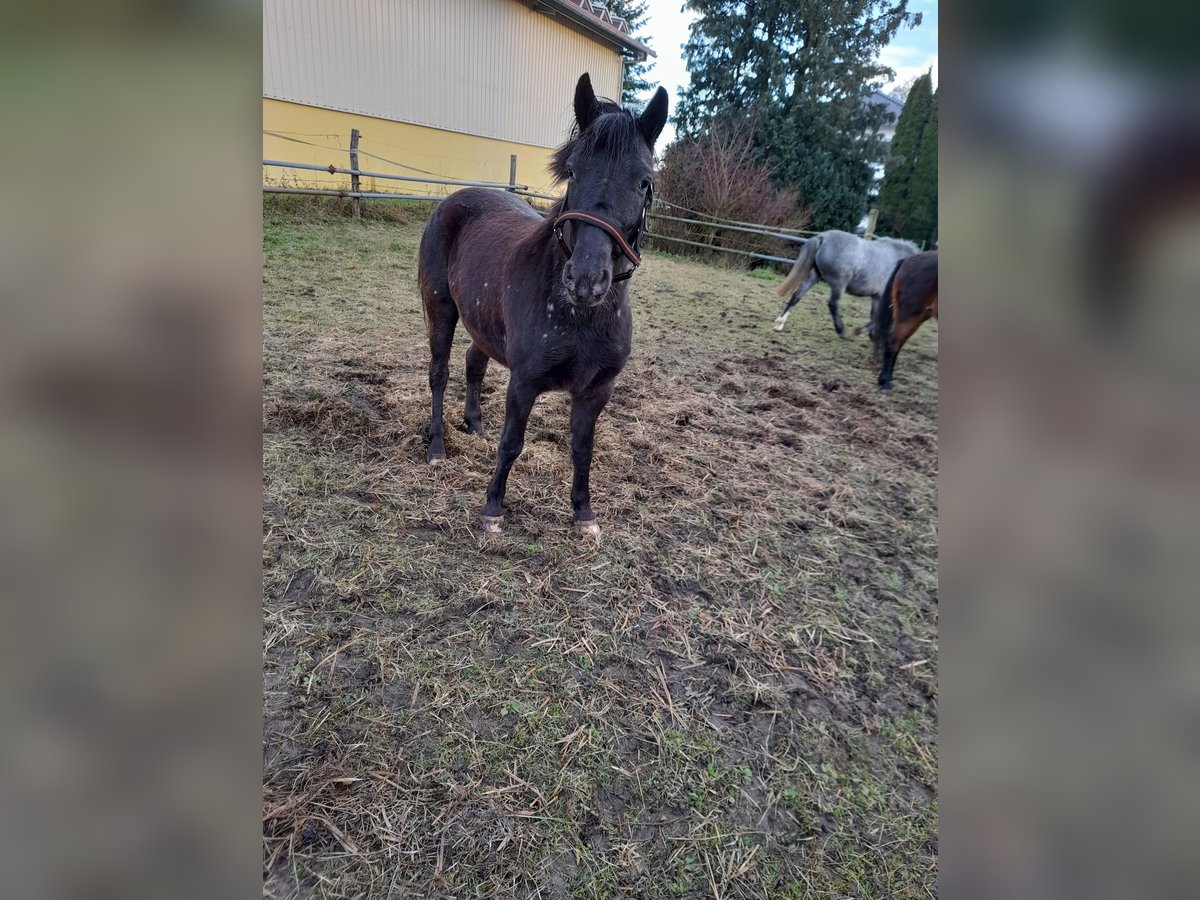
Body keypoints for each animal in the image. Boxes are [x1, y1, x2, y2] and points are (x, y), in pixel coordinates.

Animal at [418, 73, 668, 536]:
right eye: (572, 171)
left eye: (644, 181)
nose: (585, 280)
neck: (581, 317)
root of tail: (454, 201)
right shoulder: (525, 381)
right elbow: (512, 443)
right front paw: (493, 508)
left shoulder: (596, 391)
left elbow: (583, 450)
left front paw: (584, 514)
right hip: (440, 309)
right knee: (439, 374)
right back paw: (437, 446)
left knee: (473, 363)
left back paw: (474, 425)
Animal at [772, 229, 919, 337]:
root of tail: (823, 237)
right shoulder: (882, 296)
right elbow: (877, 317)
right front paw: (865, 332)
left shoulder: (877, 297)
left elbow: (875, 316)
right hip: (839, 284)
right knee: (833, 304)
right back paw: (841, 331)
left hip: (814, 276)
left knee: (797, 295)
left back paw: (779, 323)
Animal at [871, 251, 938, 390]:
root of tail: (907, 259)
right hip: (908, 315)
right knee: (893, 343)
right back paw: (885, 381)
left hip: (919, 316)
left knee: (898, 344)